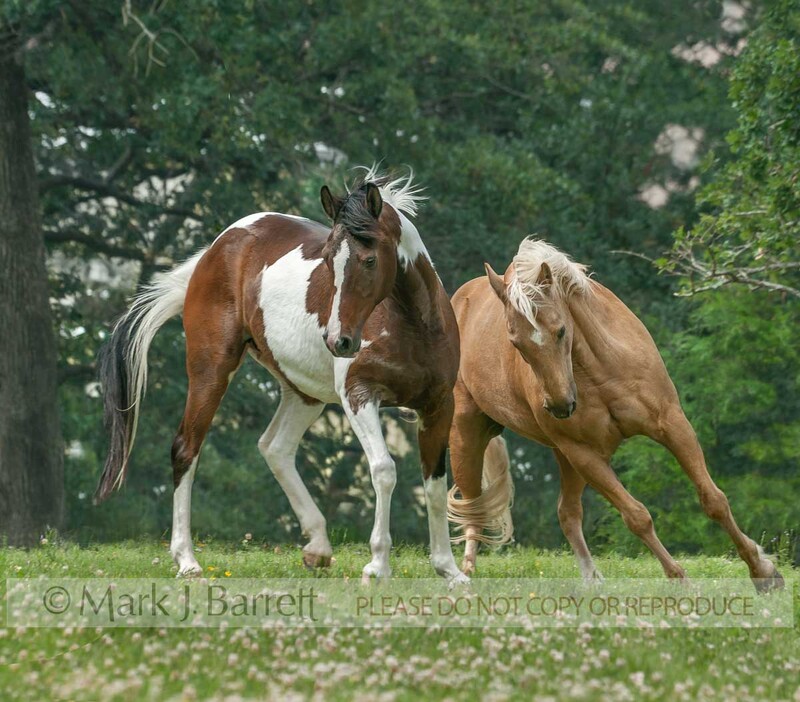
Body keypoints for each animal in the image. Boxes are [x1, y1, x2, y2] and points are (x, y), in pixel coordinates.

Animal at [95, 168, 469, 585]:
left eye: (370, 259)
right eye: (327, 259)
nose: (339, 341)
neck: (414, 326)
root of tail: (214, 250)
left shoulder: (438, 406)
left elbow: (435, 485)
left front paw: (449, 569)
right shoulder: (358, 396)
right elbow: (384, 470)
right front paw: (377, 565)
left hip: (304, 394)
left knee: (275, 447)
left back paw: (318, 547)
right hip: (212, 370)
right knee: (185, 449)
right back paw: (187, 560)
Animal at [446, 238, 784, 592]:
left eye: (561, 331)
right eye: (516, 343)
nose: (559, 405)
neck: (599, 371)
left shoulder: (672, 424)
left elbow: (714, 500)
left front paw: (763, 571)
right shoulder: (585, 454)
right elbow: (637, 516)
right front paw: (680, 580)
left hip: (562, 457)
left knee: (566, 513)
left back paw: (592, 580)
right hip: (470, 438)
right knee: (474, 509)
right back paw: (463, 576)